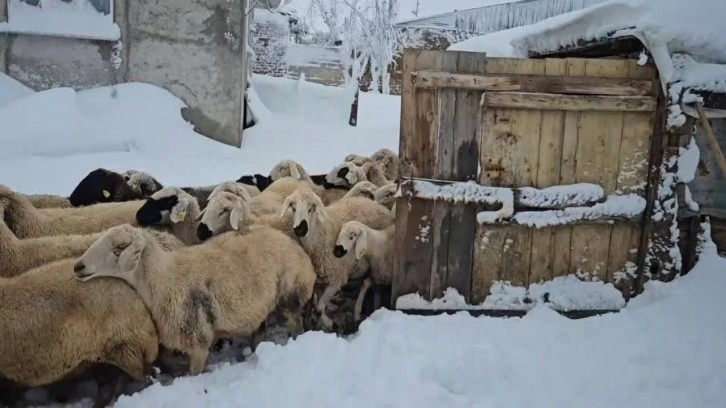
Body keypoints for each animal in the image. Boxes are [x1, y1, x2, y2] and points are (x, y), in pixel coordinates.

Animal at [73, 223, 318, 376]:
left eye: (119, 248)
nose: (78, 266)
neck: (164, 278)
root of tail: (293, 244)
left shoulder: (198, 341)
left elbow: (194, 373)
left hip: (293, 292)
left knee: (296, 321)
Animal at [280, 186, 396, 330]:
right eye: (293, 207)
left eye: (311, 208)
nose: (301, 229)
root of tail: (376, 204)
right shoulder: (318, 281)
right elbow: (312, 305)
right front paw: (312, 323)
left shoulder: (336, 279)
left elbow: (319, 308)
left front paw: (330, 324)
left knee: (369, 284)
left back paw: (358, 313)